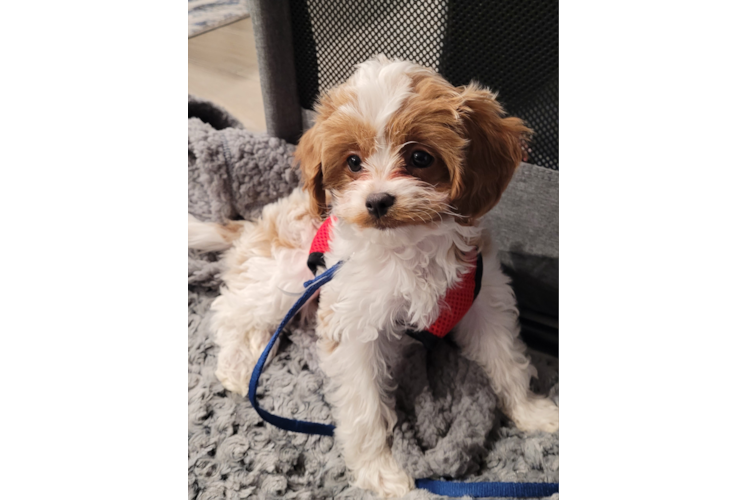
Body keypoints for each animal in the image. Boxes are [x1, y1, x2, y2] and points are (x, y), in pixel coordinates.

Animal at [190, 55, 560, 500]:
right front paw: (381, 475)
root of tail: (257, 223)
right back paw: (236, 366)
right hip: (285, 273)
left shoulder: (482, 297)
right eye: (353, 162)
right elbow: (364, 407)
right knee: (232, 309)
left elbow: (506, 358)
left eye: (420, 158)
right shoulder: (353, 328)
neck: (407, 247)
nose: (378, 200)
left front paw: (532, 412)